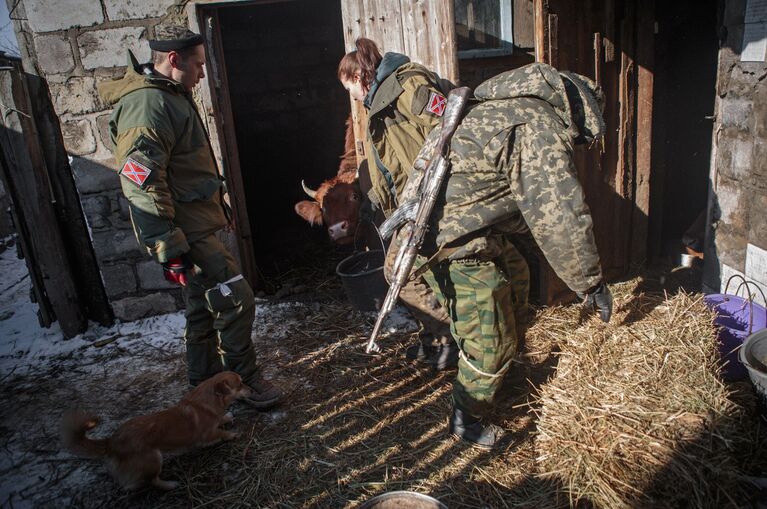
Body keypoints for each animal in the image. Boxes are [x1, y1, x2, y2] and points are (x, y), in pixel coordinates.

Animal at [62, 372, 250, 490]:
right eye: (240, 383)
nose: (251, 389)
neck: (209, 402)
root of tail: (110, 442)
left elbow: (221, 419)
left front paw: (227, 416)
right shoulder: (205, 436)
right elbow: (220, 432)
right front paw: (231, 433)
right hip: (153, 458)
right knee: (152, 481)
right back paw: (170, 485)